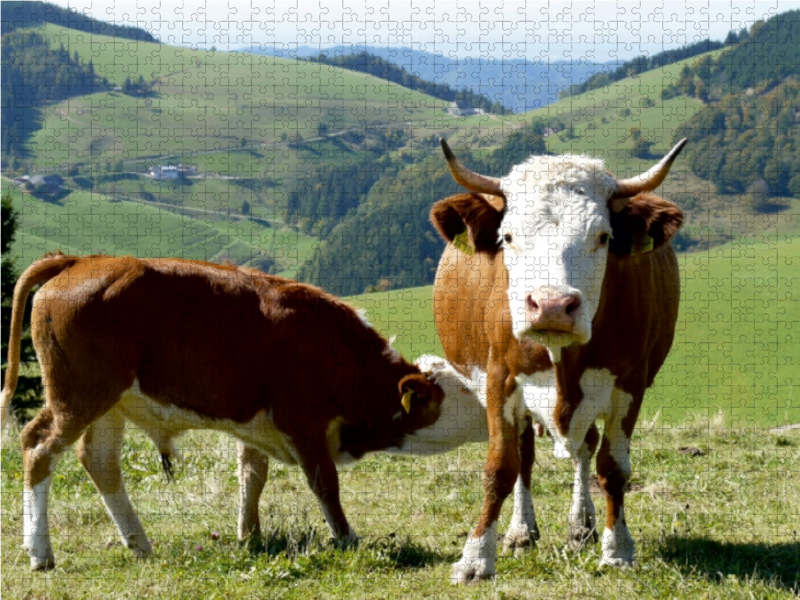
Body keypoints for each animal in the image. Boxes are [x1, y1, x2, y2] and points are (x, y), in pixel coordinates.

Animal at [0, 254, 456, 572]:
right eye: (439, 401)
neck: (334, 345)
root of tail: (80, 259)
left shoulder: (259, 425)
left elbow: (252, 476)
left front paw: (249, 536)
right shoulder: (302, 420)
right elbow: (325, 484)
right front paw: (346, 538)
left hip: (108, 404)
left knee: (99, 462)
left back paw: (139, 543)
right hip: (78, 396)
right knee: (38, 447)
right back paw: (40, 553)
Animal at [432, 139, 688, 580]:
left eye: (603, 236)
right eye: (508, 236)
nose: (552, 305)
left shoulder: (629, 383)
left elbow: (613, 468)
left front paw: (617, 549)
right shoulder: (499, 379)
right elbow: (501, 467)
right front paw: (476, 557)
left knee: (585, 449)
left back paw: (581, 525)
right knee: (525, 457)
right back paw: (521, 531)